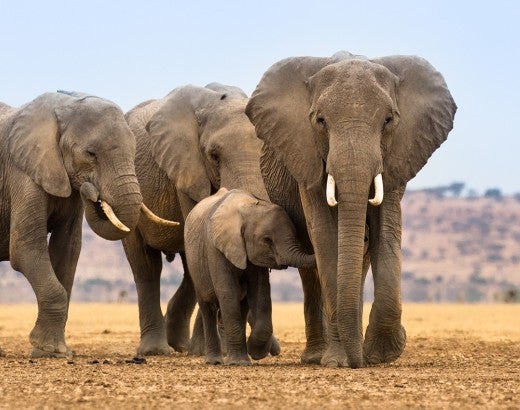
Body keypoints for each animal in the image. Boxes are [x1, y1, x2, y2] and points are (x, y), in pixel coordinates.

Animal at [0, 91, 175, 358]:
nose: (91, 190)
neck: (64, 106)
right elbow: (25, 248)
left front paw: (54, 351)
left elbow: (67, 251)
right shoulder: (22, 172)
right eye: (91, 153)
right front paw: (49, 350)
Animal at [186, 189, 316, 366]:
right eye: (267, 240)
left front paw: (254, 353)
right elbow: (228, 294)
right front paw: (240, 362)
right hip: (195, 267)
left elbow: (260, 293)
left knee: (242, 306)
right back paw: (215, 361)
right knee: (208, 308)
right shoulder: (215, 248)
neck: (247, 209)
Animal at [246, 51, 458, 368]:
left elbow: (386, 232)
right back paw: (318, 357)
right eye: (320, 121)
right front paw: (339, 361)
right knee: (312, 270)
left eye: (388, 120)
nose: (360, 362)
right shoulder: (307, 157)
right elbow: (326, 237)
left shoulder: (395, 157)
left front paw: (381, 354)